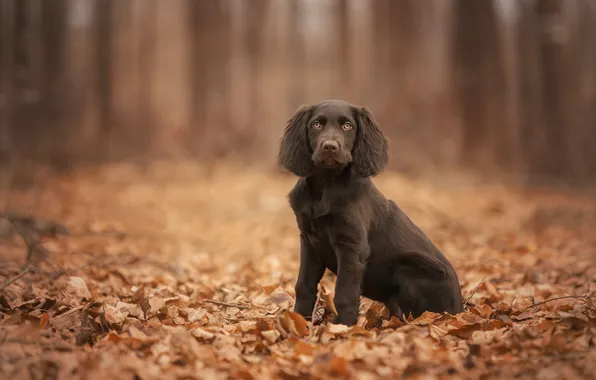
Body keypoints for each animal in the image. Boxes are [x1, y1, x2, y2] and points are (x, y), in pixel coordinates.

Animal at [278, 99, 464, 326]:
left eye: (347, 126)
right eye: (316, 125)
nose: (330, 147)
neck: (326, 185)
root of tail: (460, 309)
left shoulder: (351, 246)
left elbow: (345, 293)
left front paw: (343, 327)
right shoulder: (308, 240)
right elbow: (303, 285)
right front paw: (300, 321)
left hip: (411, 266)